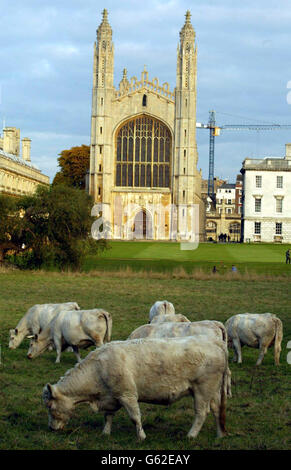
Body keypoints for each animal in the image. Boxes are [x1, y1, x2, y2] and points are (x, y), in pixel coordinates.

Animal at [42, 336, 230, 438]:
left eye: (50, 406)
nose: (50, 428)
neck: (98, 368)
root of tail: (215, 342)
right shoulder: (111, 397)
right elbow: (108, 416)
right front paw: (105, 433)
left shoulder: (127, 395)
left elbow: (135, 417)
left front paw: (141, 436)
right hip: (213, 392)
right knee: (216, 410)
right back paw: (220, 434)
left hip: (202, 390)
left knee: (201, 413)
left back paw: (191, 435)